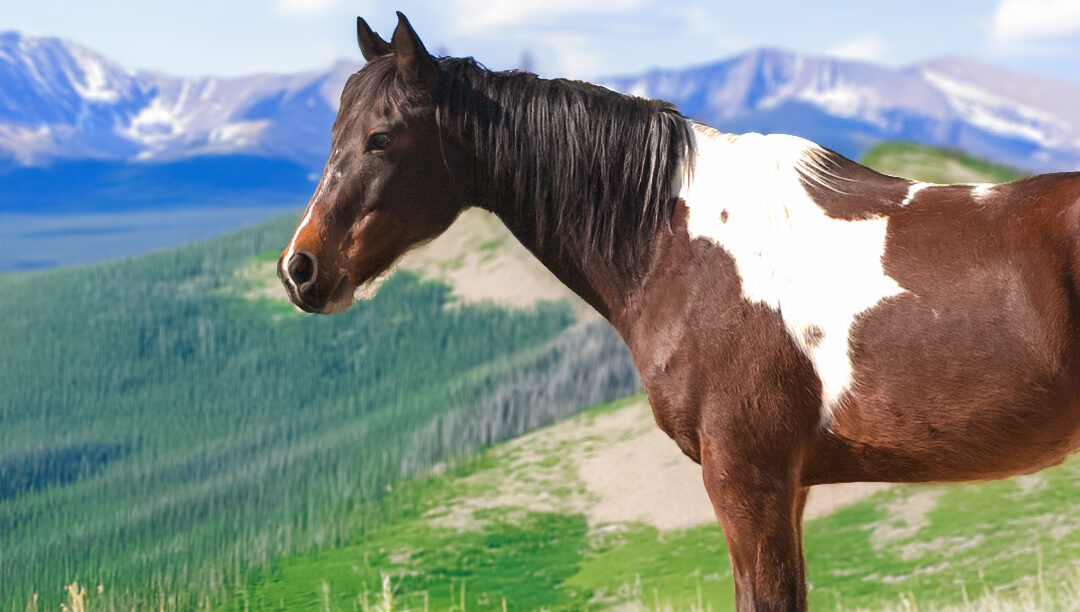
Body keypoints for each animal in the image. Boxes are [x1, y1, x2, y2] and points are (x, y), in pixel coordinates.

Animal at [278, 12, 1080, 610]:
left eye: (381, 138)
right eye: (334, 133)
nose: (300, 269)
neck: (677, 244)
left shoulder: (747, 481)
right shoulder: (786, 488)